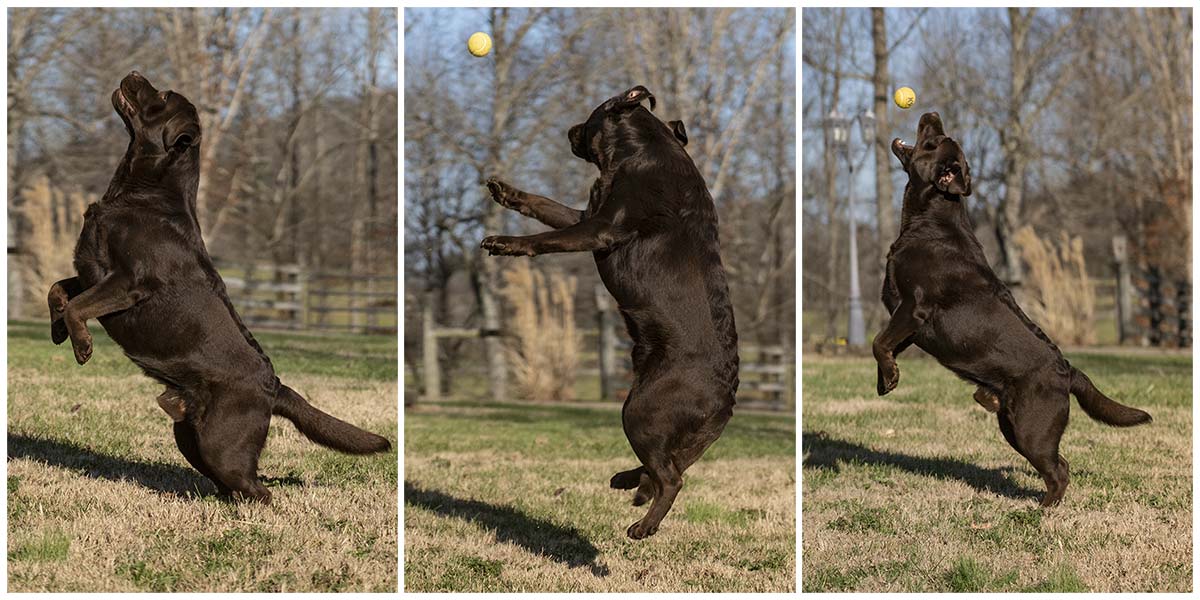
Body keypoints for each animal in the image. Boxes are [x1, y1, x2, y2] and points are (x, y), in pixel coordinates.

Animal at [44, 72, 384, 504]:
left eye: (161, 96)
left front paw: (82, 347)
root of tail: (273, 386)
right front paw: (58, 331)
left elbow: (78, 305)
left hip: (220, 443)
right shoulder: (91, 271)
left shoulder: (128, 281)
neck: (140, 193)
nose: (134, 73)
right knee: (236, 483)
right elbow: (58, 290)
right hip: (191, 436)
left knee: (257, 488)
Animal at [482, 84, 734, 540]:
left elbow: (545, 238)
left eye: (591, 114)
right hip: (657, 419)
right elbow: (544, 205)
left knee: (671, 477)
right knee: (664, 464)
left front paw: (506, 243)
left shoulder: (597, 229)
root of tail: (728, 395)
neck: (636, 152)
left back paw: (644, 525)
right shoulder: (585, 215)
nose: (570, 129)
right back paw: (627, 481)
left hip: (639, 411)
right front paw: (506, 191)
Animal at [878, 111, 1147, 506]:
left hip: (1029, 429)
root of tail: (1068, 371)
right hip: (1013, 424)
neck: (929, 221)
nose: (932, 114)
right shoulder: (904, 318)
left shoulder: (913, 307)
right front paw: (887, 381)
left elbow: (878, 342)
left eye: (933, 140)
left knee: (1058, 471)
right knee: (1060, 464)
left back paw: (1043, 509)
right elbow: (887, 344)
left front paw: (890, 376)